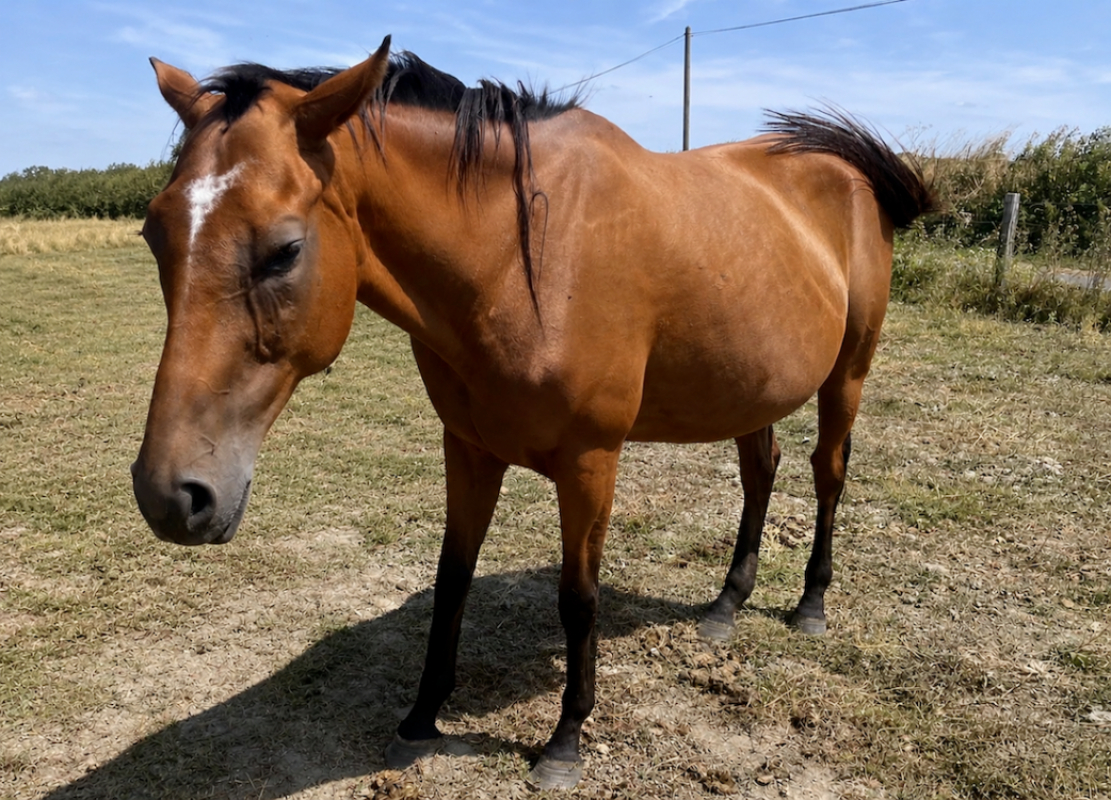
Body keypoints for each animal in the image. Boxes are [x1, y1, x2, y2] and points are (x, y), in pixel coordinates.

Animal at [131, 36, 935, 789]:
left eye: (285, 250)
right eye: (153, 233)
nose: (171, 496)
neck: (518, 259)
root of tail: (845, 173)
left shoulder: (589, 463)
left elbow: (577, 598)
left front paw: (564, 742)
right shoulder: (468, 447)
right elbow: (452, 576)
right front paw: (421, 717)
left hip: (847, 374)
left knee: (827, 473)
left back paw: (810, 604)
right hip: (750, 387)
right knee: (760, 472)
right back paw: (725, 605)